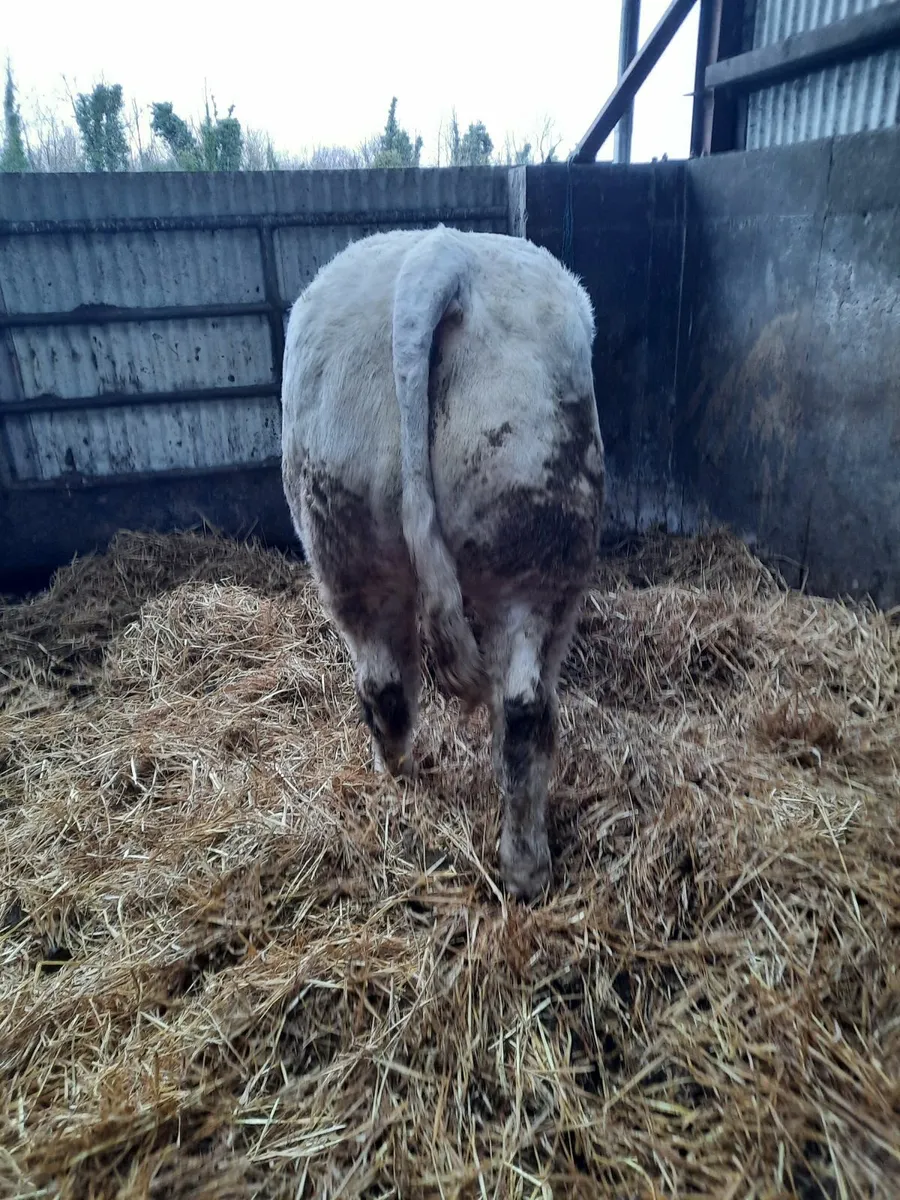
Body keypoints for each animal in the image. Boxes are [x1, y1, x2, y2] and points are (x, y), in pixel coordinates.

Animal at [281, 225, 605, 899]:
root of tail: (440, 257)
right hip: (540, 549)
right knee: (525, 711)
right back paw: (528, 869)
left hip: (344, 542)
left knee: (383, 686)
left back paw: (399, 779)